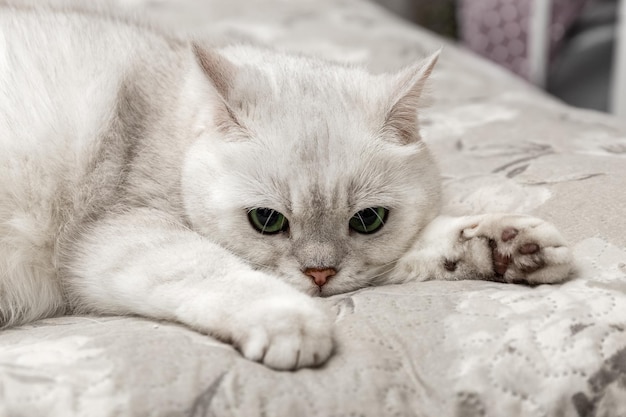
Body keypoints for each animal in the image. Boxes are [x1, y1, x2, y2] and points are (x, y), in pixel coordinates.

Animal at [0, 4, 572, 368]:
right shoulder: (112, 237)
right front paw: (290, 323)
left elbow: (422, 245)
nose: (319, 274)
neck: (165, 122)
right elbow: (212, 270)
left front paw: (510, 245)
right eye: (267, 221)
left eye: (368, 220)